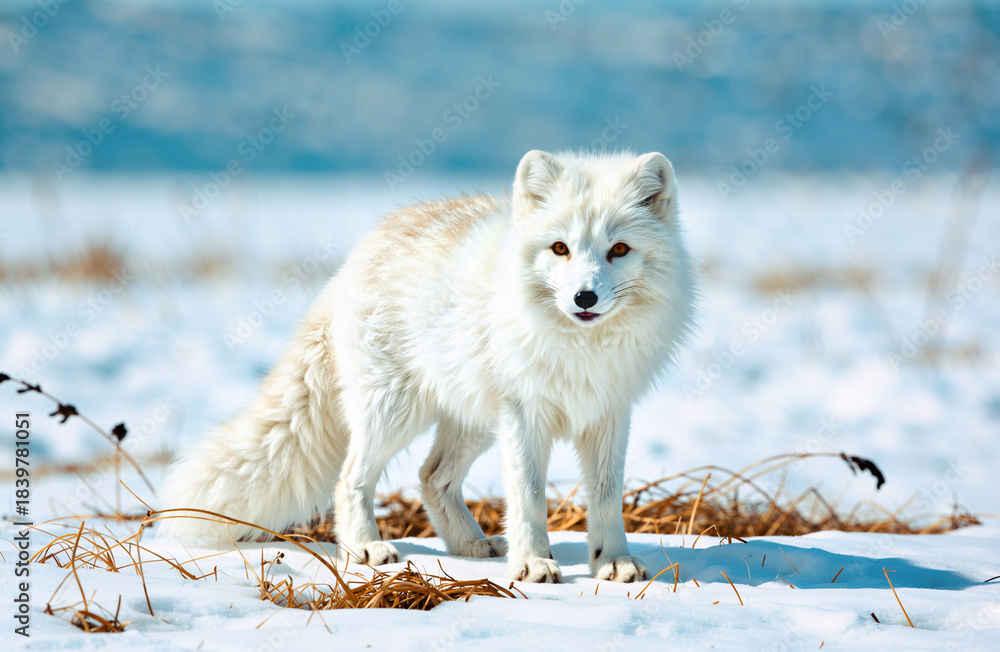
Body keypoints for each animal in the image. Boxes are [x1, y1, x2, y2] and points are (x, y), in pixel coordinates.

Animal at [159, 149, 696, 583]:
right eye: (560, 248)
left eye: (619, 249)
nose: (584, 297)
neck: (581, 351)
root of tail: (353, 260)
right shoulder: (524, 413)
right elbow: (528, 495)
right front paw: (532, 563)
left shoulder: (609, 413)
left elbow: (606, 494)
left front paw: (612, 560)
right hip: (395, 412)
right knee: (350, 477)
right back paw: (365, 548)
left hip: (473, 420)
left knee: (430, 476)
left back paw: (471, 544)